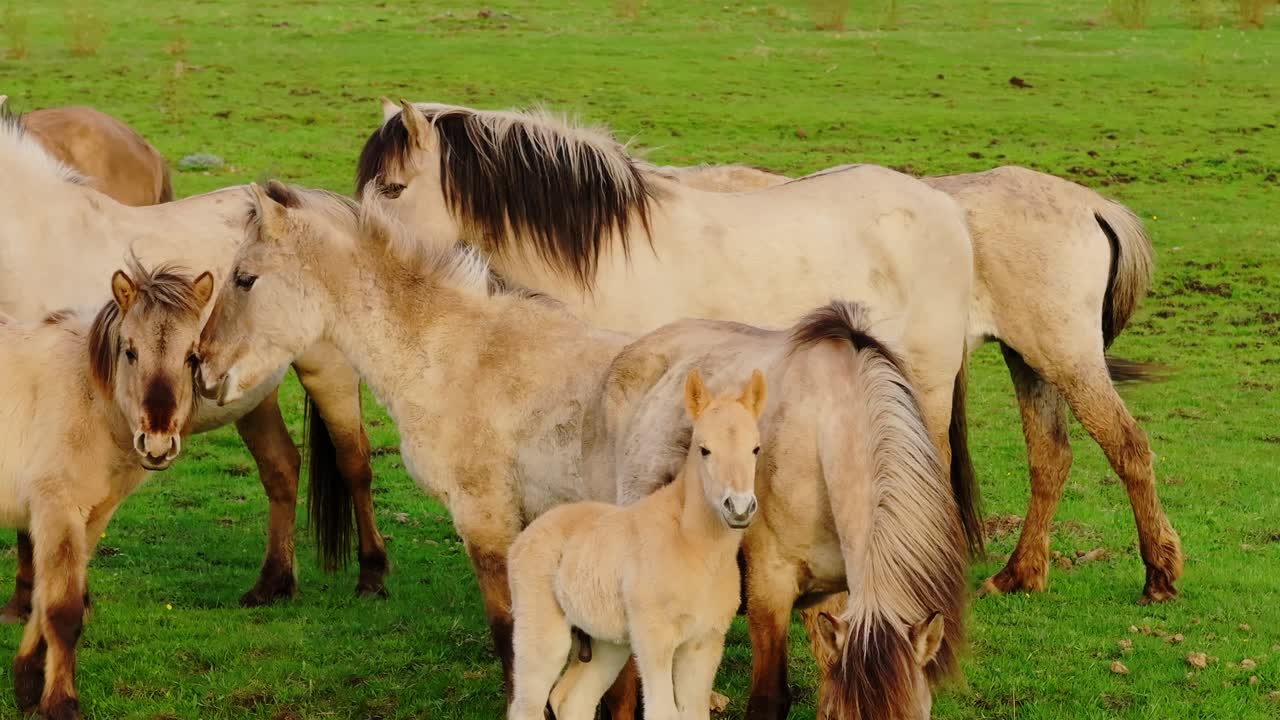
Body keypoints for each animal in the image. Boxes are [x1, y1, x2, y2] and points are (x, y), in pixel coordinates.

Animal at [0, 262, 211, 720]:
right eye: (130, 351)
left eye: (192, 356)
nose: (157, 443)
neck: (89, 397)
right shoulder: (56, 509)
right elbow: (63, 610)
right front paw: (60, 702)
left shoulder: (93, 515)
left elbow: (49, 598)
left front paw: (27, 683)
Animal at [508, 369, 766, 720]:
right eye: (704, 449)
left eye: (756, 449)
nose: (739, 508)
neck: (694, 548)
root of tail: (523, 538)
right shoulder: (653, 638)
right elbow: (662, 711)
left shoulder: (704, 643)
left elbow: (695, 711)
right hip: (541, 632)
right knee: (527, 703)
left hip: (608, 643)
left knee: (571, 700)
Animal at [671, 162, 1181, 604]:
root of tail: (1092, 205)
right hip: (1029, 360)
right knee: (1051, 456)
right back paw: (1018, 574)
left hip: (1066, 357)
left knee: (1127, 445)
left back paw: (1159, 574)